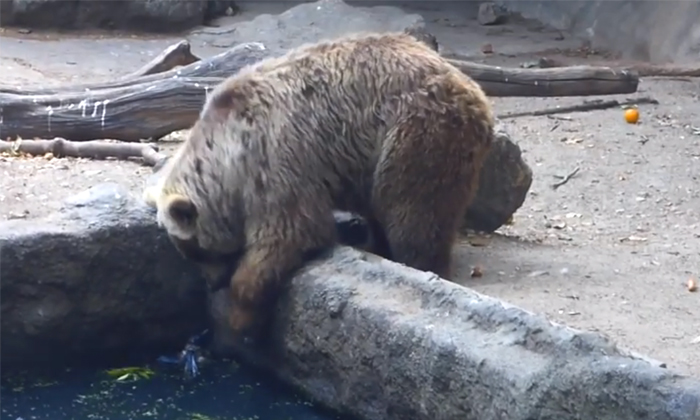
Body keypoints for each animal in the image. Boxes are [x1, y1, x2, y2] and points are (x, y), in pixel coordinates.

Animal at [142, 32, 494, 334]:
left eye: (196, 250)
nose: (212, 283)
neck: (230, 154)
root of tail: (472, 88)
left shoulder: (278, 155)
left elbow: (291, 231)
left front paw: (239, 315)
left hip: (417, 133)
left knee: (415, 212)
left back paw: (415, 262)